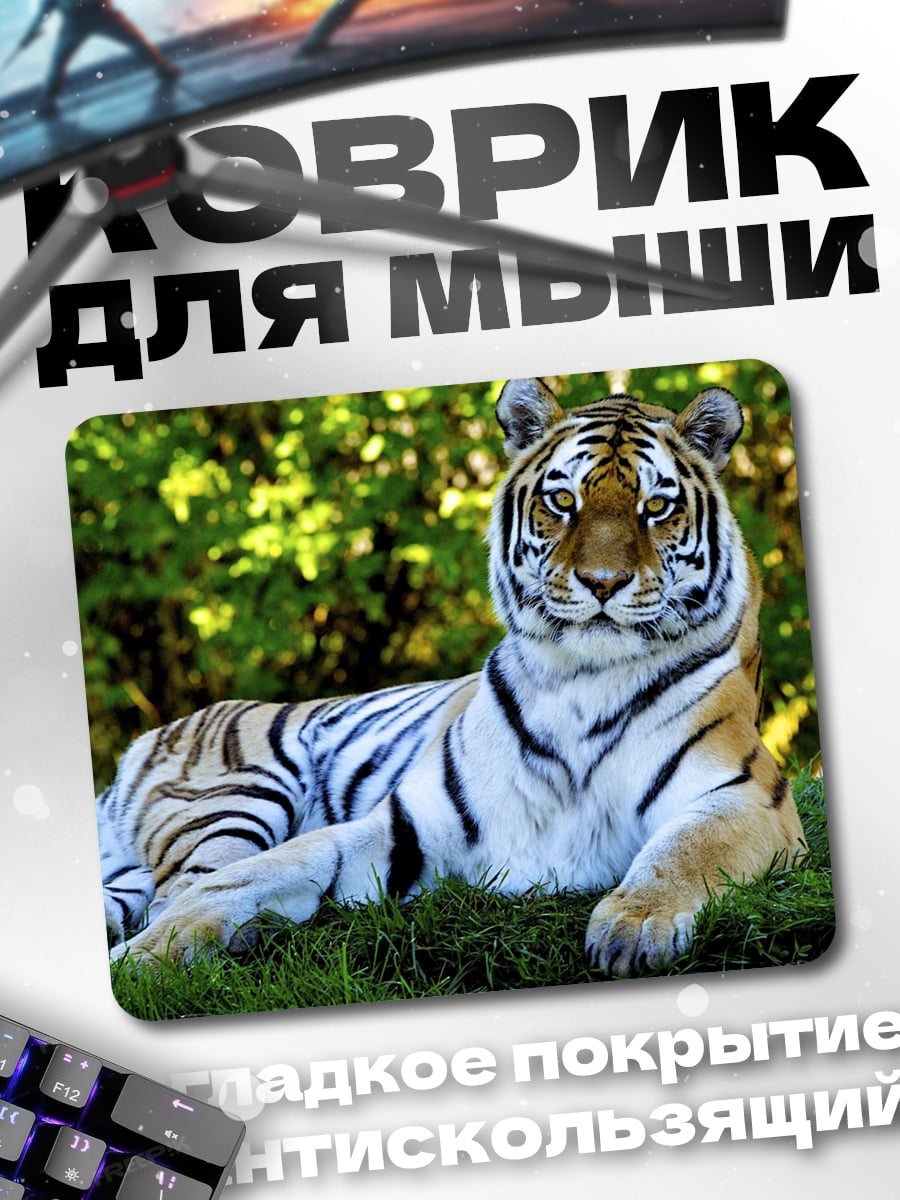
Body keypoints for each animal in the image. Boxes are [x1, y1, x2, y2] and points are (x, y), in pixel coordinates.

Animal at [99, 377, 805, 978]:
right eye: (563, 500)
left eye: (656, 506)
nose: (602, 583)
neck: (583, 681)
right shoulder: (404, 826)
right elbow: (261, 873)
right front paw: (150, 957)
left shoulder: (748, 796)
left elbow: (685, 854)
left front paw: (635, 927)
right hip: (237, 794)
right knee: (180, 884)